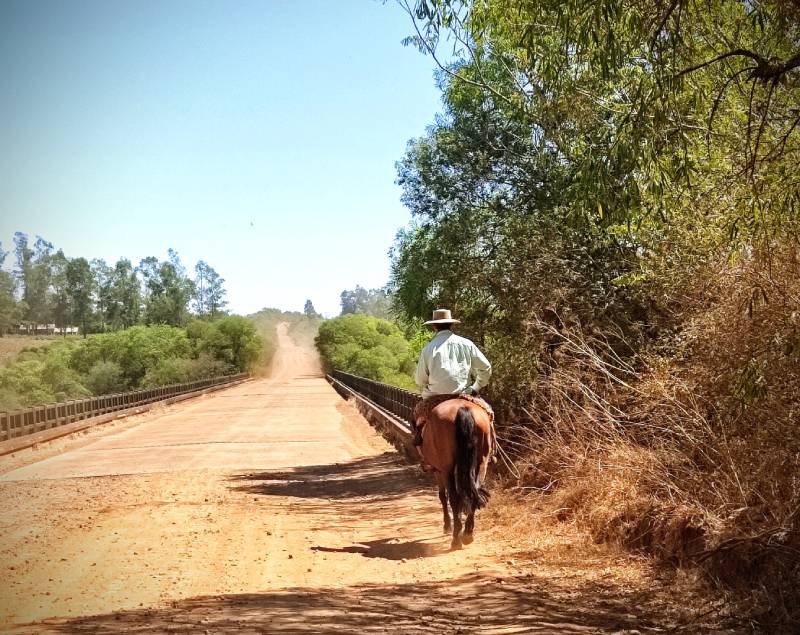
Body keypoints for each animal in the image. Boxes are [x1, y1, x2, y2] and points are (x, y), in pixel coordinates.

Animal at [418, 400, 494, 548]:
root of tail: (463, 409)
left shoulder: (439, 471)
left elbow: (443, 496)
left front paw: (447, 525)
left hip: (446, 468)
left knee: (453, 498)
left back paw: (456, 539)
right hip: (482, 463)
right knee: (474, 493)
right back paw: (467, 534)